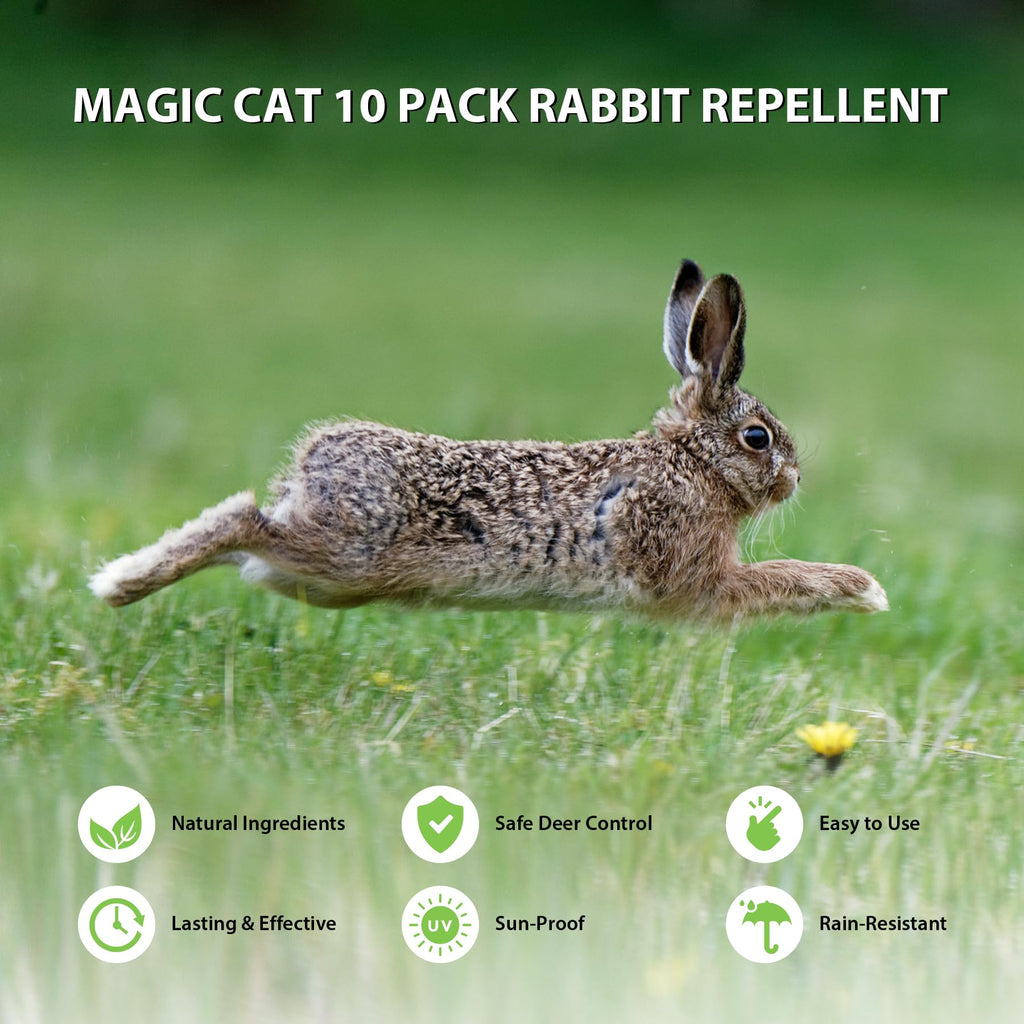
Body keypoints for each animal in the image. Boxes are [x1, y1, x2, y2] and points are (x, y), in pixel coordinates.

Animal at [89, 259, 888, 620]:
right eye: (757, 438)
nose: (793, 479)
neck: (690, 464)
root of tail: (314, 463)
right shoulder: (692, 582)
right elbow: (778, 577)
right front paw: (861, 590)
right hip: (345, 554)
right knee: (241, 517)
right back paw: (121, 582)